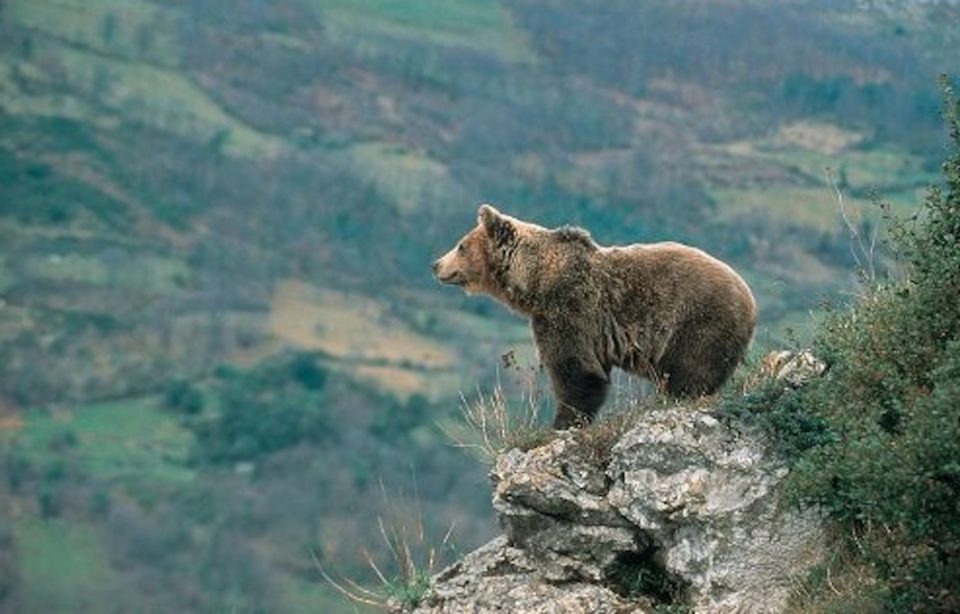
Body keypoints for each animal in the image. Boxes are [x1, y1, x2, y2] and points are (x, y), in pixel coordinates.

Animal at [433, 204, 758, 429]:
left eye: (461, 245)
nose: (435, 264)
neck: (534, 281)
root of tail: (750, 299)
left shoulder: (569, 309)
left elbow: (576, 370)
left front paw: (561, 423)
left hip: (697, 322)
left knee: (690, 372)